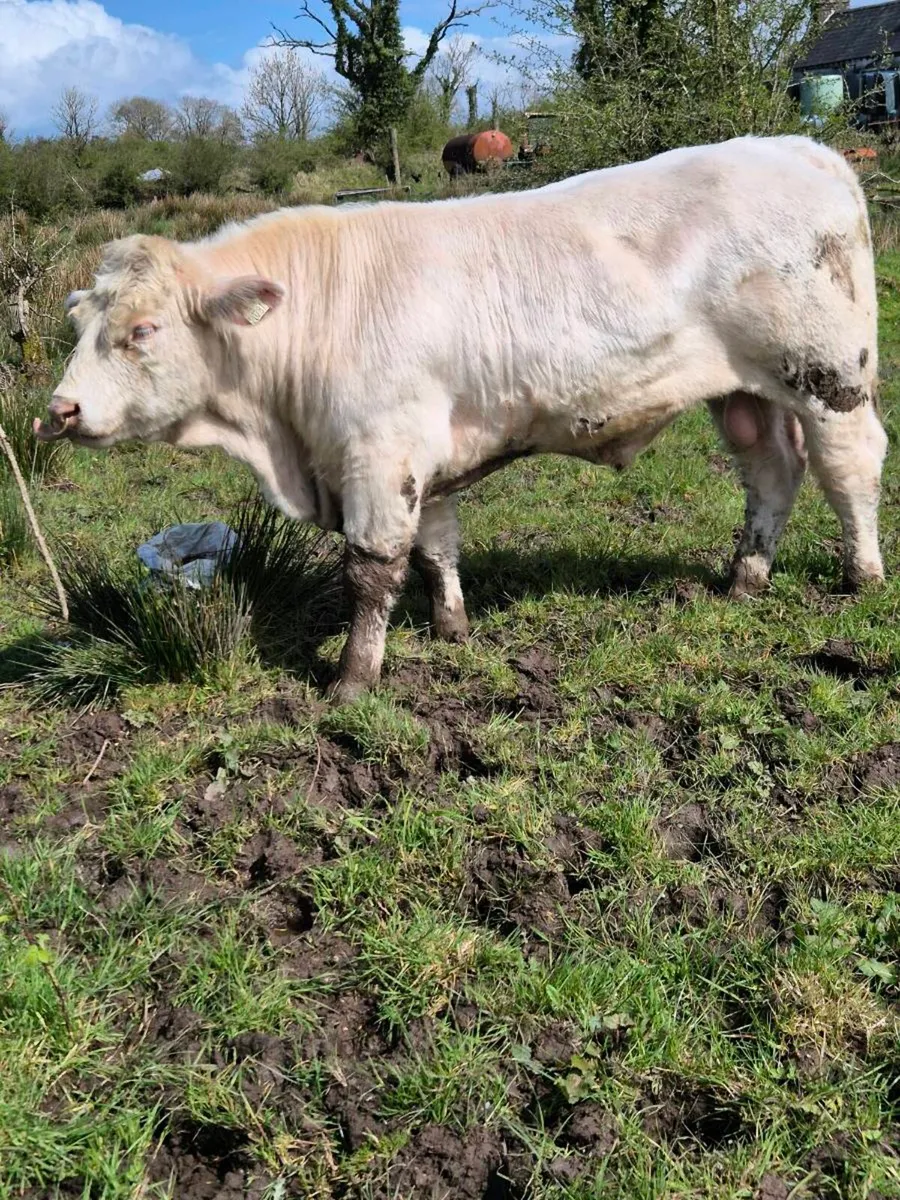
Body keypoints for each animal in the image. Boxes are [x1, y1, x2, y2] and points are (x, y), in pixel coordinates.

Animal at [35, 135, 888, 702]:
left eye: (142, 330)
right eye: (78, 322)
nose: (59, 410)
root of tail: (801, 148)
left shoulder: (379, 451)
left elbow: (371, 570)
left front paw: (352, 680)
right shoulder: (423, 453)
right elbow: (436, 547)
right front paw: (453, 629)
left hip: (830, 376)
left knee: (849, 466)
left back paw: (862, 575)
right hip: (744, 391)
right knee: (771, 472)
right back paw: (744, 578)